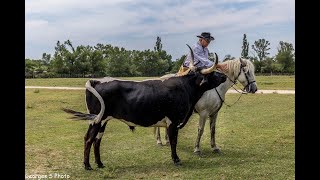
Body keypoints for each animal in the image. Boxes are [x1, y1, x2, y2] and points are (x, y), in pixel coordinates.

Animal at [63, 44, 228, 169]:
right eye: (212, 73)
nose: (224, 76)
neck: (185, 87)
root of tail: (96, 80)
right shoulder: (173, 121)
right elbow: (173, 141)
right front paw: (176, 160)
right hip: (96, 120)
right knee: (88, 139)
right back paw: (87, 166)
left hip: (103, 120)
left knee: (97, 140)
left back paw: (100, 163)